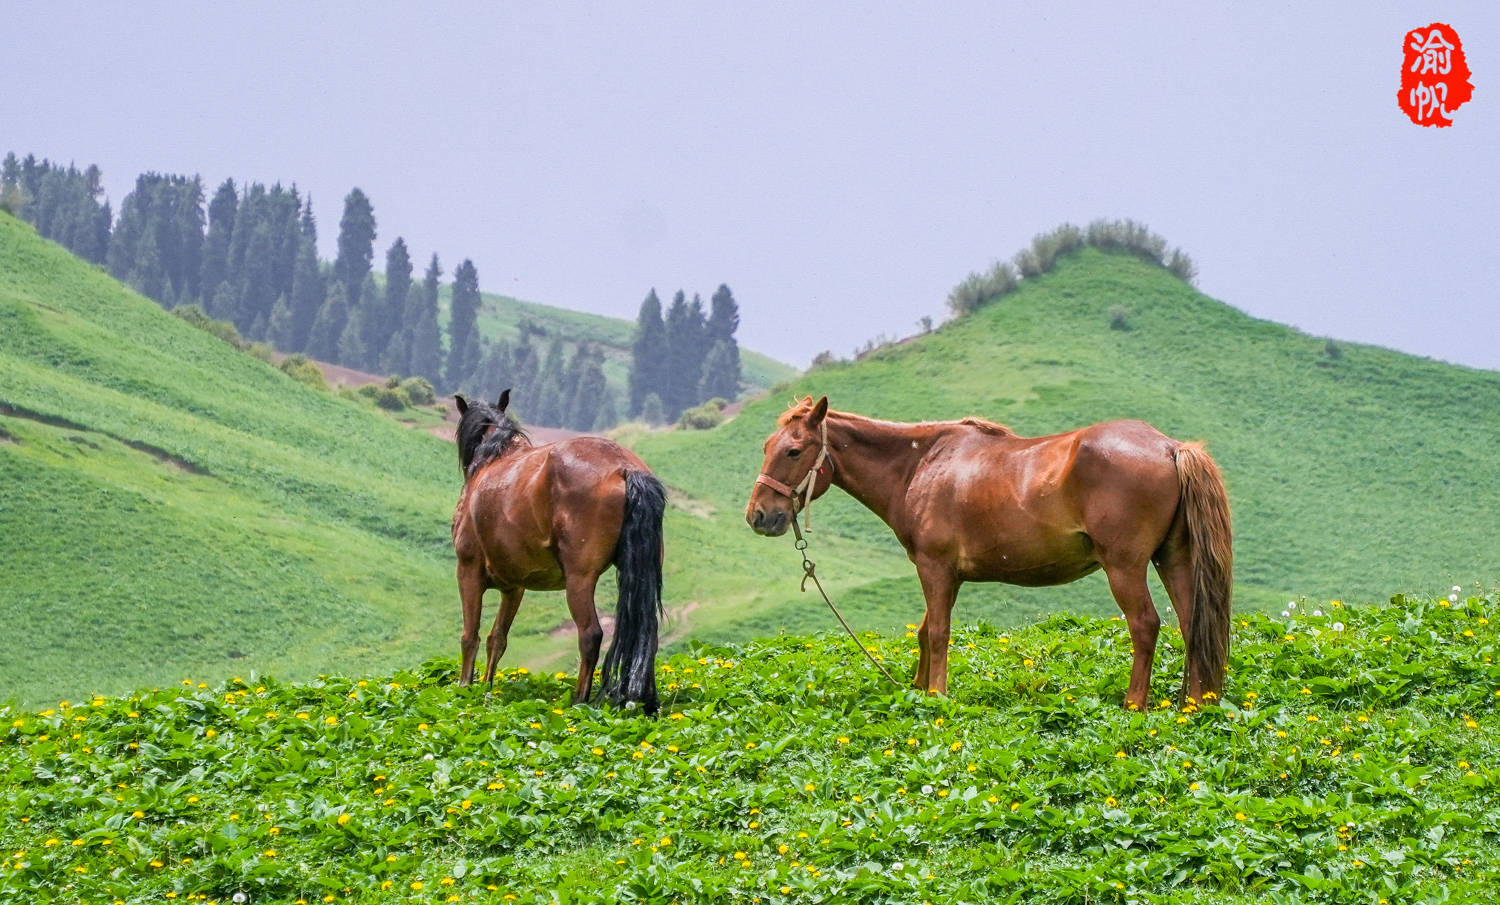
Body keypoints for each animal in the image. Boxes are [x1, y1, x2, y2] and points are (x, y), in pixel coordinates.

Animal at [447, 390, 666, 714]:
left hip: (579, 580)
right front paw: (485, 690)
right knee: (647, 633)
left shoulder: (468, 570)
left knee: (590, 634)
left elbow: (469, 636)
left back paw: (579, 701)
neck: (494, 459)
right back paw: (647, 702)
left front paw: (466, 689)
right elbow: (497, 638)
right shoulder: (514, 587)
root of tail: (625, 468)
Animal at [747, 399, 1230, 711]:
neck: (922, 465)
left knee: (1146, 626)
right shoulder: (946, 575)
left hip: (1124, 567)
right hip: (1173, 560)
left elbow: (938, 632)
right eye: (766, 447)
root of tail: (1170, 447)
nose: (758, 516)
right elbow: (924, 632)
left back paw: (1134, 704)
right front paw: (918, 690)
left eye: (793, 450)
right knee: (1192, 625)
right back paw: (1194, 704)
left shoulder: (935, 568)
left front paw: (937, 697)